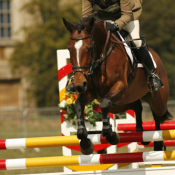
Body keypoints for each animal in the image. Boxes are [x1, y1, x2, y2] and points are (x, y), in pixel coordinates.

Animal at [62, 16, 172, 154]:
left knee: (157, 115)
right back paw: (140, 132)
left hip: (157, 100)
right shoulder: (89, 92)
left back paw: (157, 144)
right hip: (121, 104)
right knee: (137, 106)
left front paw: (110, 135)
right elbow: (78, 105)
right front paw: (85, 141)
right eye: (69, 49)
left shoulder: (120, 86)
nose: (78, 85)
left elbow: (104, 104)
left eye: (89, 48)